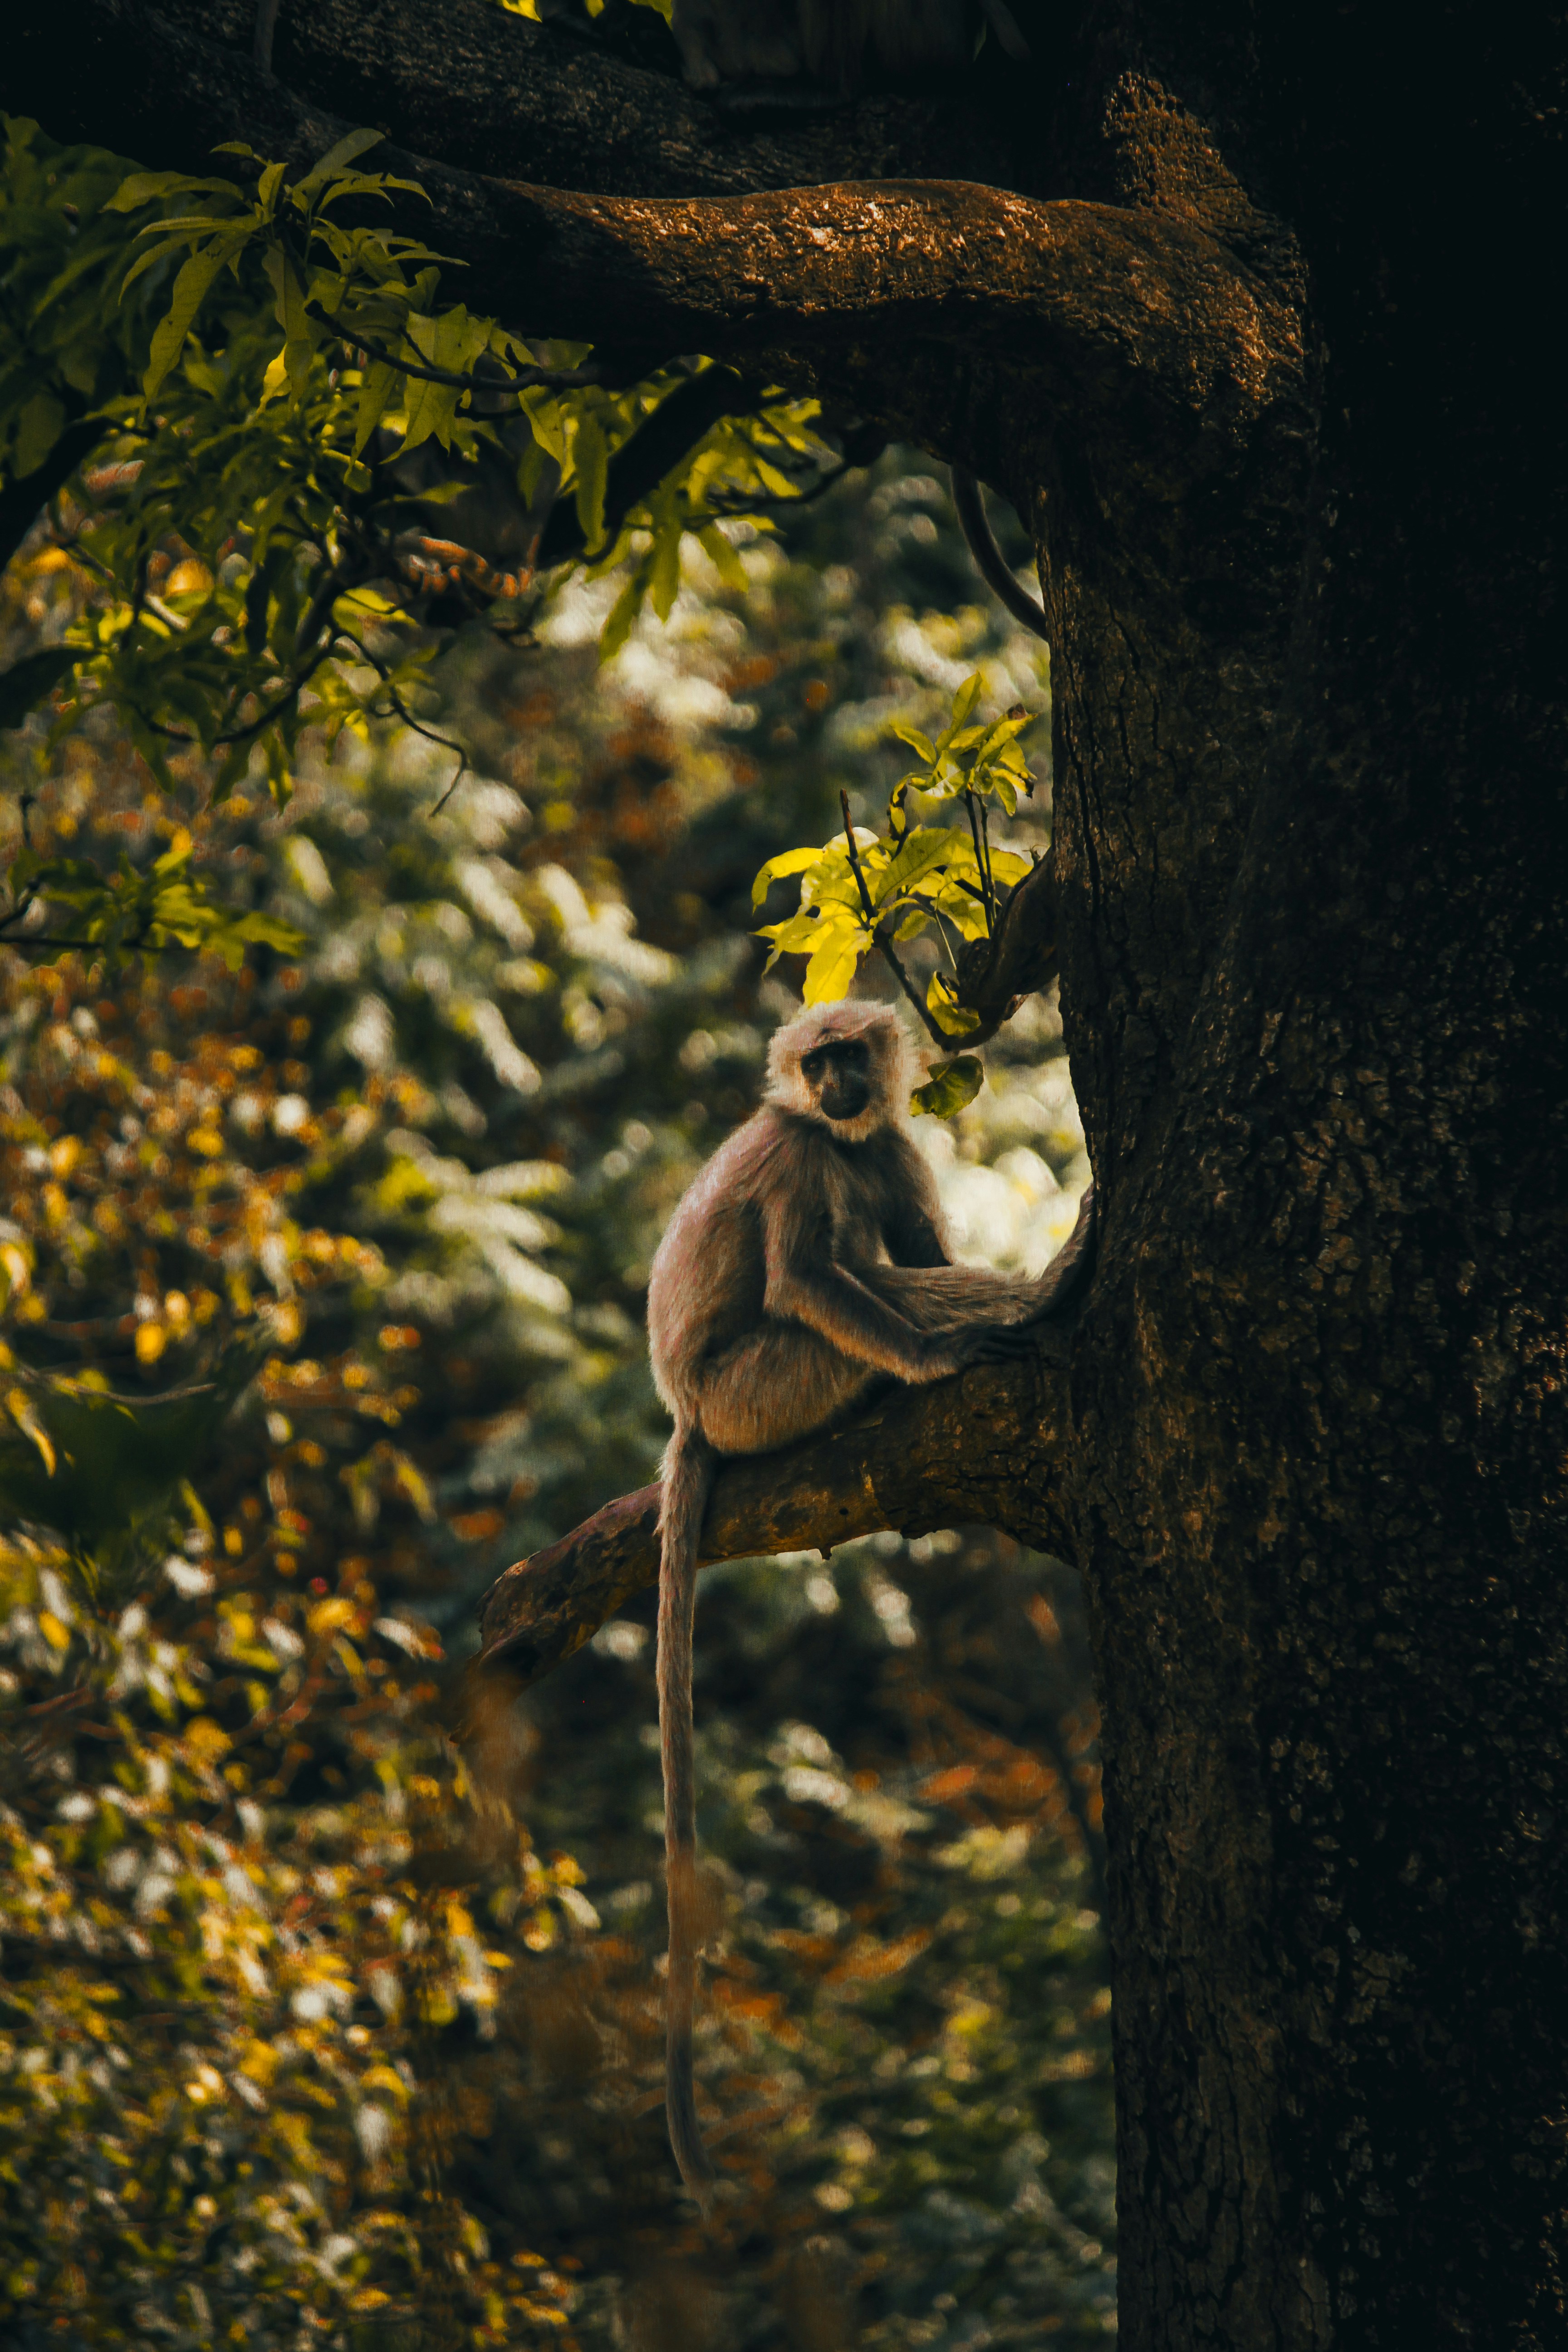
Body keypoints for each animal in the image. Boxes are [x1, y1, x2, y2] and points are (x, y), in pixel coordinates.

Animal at [645, 999, 1094, 2201]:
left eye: (850, 1056)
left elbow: (921, 1245)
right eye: (814, 1065)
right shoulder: (799, 1152)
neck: (834, 1132)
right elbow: (808, 1281)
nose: (836, 1085)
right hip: (761, 1390)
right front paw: (941, 1359)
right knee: (845, 1292)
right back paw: (1034, 1299)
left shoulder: (882, 1141)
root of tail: (686, 1409)